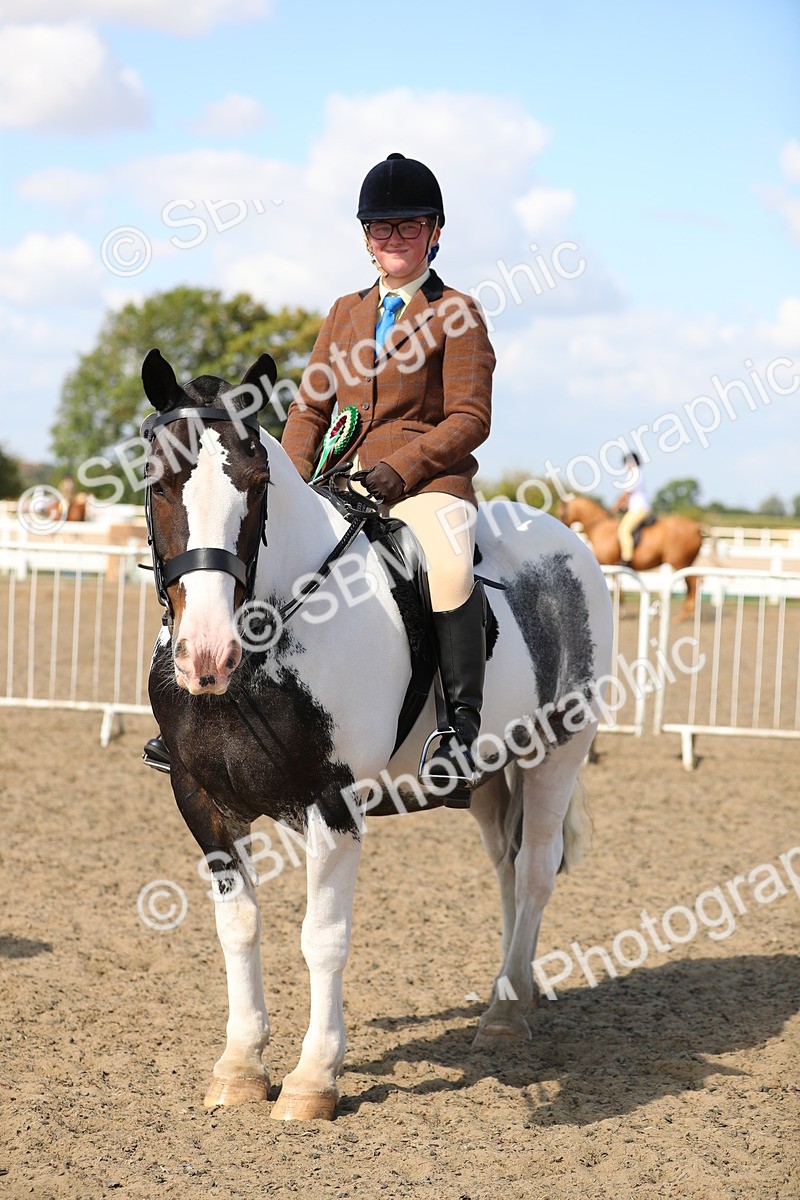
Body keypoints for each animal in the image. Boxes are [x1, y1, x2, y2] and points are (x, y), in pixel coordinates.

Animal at [141, 348, 614, 1122]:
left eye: (257, 483)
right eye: (158, 480)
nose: (205, 655)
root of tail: (567, 542)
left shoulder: (332, 803)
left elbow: (323, 938)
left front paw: (313, 1080)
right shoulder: (201, 800)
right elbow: (239, 926)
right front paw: (240, 1066)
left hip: (556, 754)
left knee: (536, 870)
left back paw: (506, 1015)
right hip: (488, 776)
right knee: (507, 871)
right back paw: (508, 996)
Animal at [557, 495, 704, 620]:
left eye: (561, 514)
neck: (601, 528)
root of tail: (696, 527)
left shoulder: (611, 564)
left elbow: (618, 587)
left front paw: (620, 612)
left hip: (680, 563)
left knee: (694, 582)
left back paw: (683, 615)